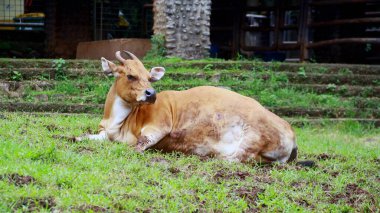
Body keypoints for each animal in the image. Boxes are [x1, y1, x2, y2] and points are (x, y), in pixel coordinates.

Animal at [76, 51, 296, 163]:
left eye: (149, 77)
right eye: (130, 75)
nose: (151, 94)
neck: (119, 123)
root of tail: (291, 133)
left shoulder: (159, 124)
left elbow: (137, 146)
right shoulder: (104, 133)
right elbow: (81, 137)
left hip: (251, 139)